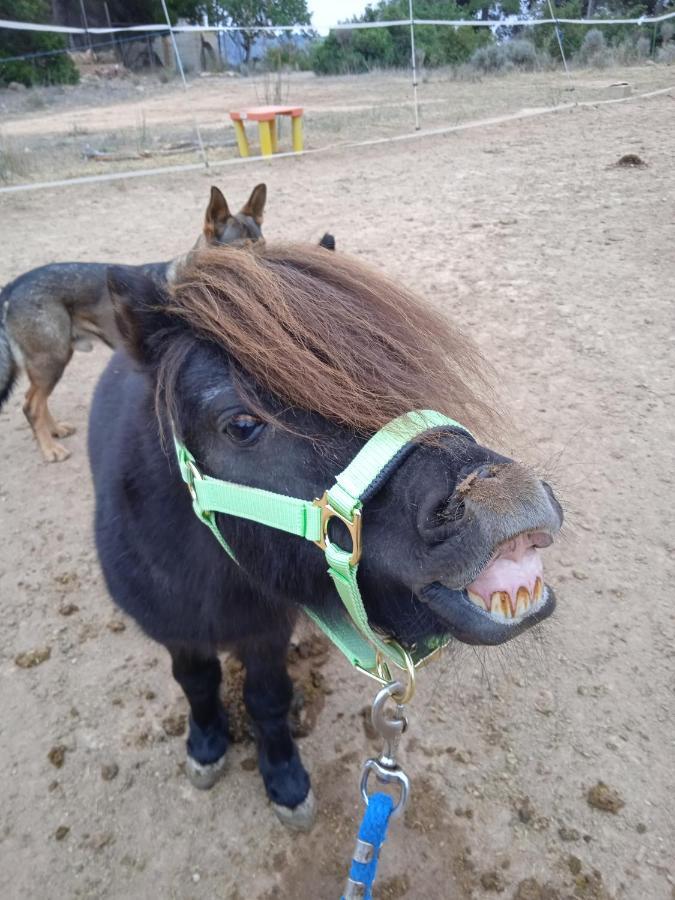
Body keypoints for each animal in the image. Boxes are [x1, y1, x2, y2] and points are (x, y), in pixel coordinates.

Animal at [0, 184, 268, 464]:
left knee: (36, 402)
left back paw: (55, 430)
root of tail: (13, 285)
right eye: (239, 253)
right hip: (51, 359)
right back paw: (49, 448)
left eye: (264, 245)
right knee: (31, 405)